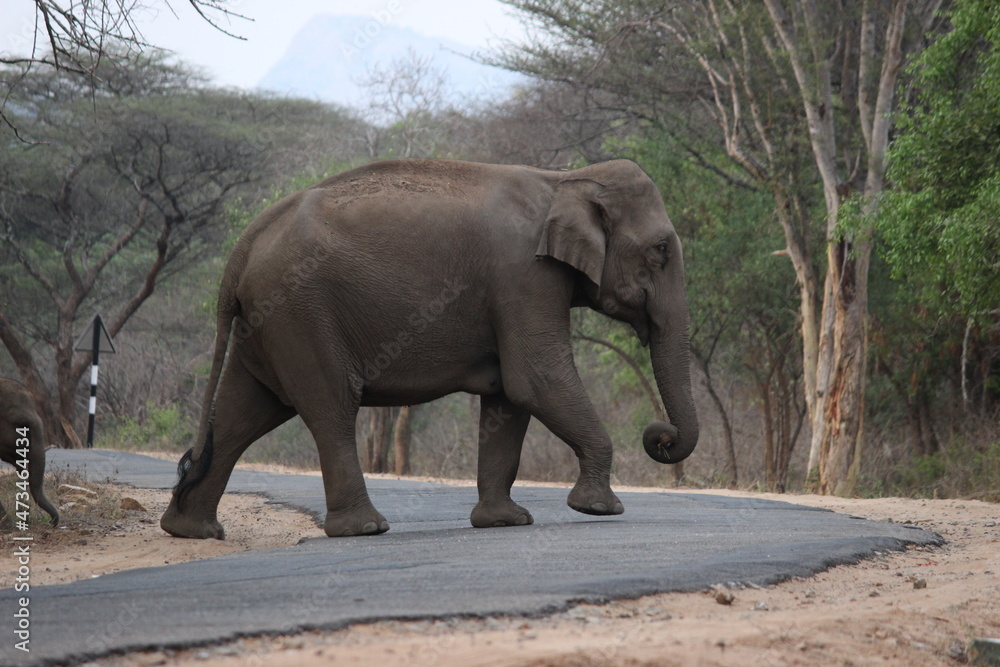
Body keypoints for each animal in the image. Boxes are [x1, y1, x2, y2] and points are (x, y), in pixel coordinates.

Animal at [160, 158, 699, 539]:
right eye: (660, 251)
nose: (660, 435)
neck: (564, 179)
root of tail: (241, 249)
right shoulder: (524, 277)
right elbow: (535, 378)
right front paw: (598, 509)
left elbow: (508, 397)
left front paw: (504, 522)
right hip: (299, 312)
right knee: (330, 407)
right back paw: (366, 529)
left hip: (267, 320)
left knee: (242, 413)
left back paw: (191, 531)